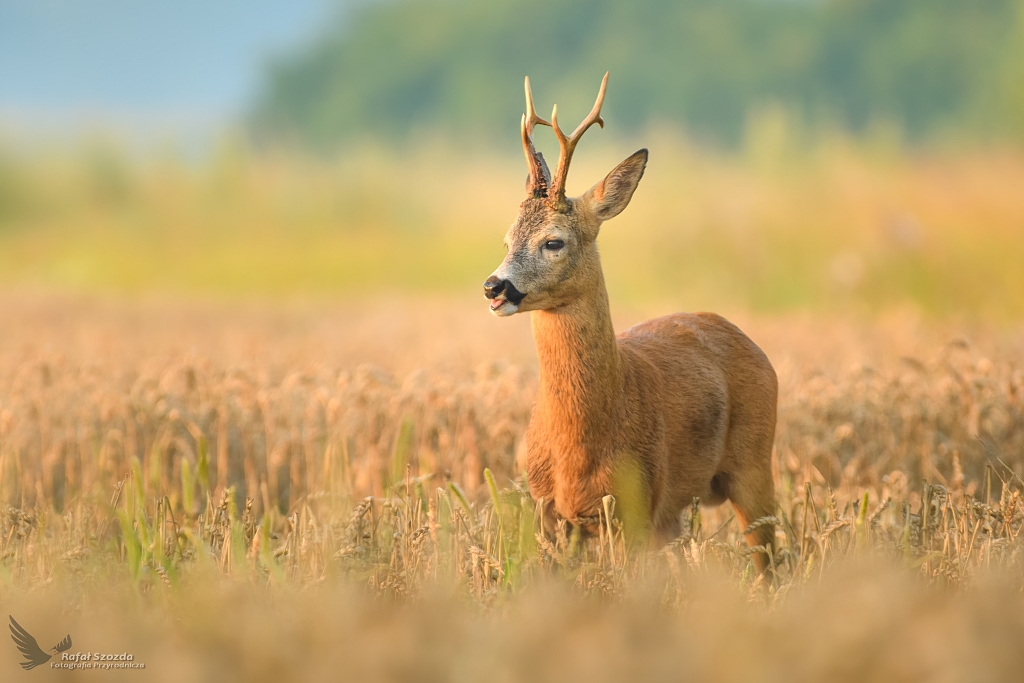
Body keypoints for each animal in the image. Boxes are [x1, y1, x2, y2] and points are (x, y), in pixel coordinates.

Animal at [483, 73, 778, 577]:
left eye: (553, 242)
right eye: (506, 240)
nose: (494, 286)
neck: (579, 446)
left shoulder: (635, 504)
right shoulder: (548, 512)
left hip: (756, 464)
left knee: (775, 557)